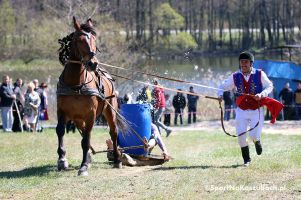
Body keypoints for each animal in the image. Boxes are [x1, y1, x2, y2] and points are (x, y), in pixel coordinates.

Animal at [55, 17, 122, 177]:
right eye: (80, 40)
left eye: (94, 39)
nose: (93, 63)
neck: (75, 84)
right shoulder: (62, 111)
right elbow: (60, 130)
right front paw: (62, 159)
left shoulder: (90, 114)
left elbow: (87, 139)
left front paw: (84, 165)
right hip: (78, 119)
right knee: (83, 131)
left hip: (109, 110)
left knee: (113, 132)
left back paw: (117, 159)